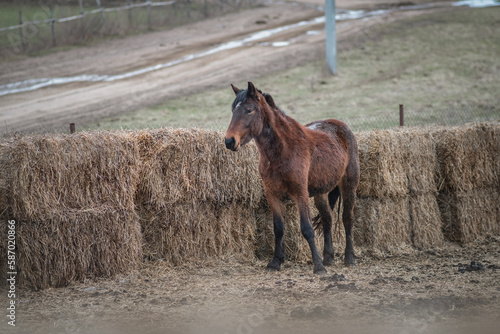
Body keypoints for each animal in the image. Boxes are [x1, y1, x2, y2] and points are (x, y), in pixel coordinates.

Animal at [224, 81, 360, 274]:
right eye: (233, 110)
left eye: (249, 110)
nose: (229, 141)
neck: (283, 149)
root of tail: (341, 126)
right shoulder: (272, 194)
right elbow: (279, 229)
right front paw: (275, 262)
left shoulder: (300, 193)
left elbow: (307, 228)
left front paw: (318, 266)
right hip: (321, 193)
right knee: (327, 219)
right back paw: (328, 257)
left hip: (349, 185)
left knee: (347, 218)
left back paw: (349, 258)